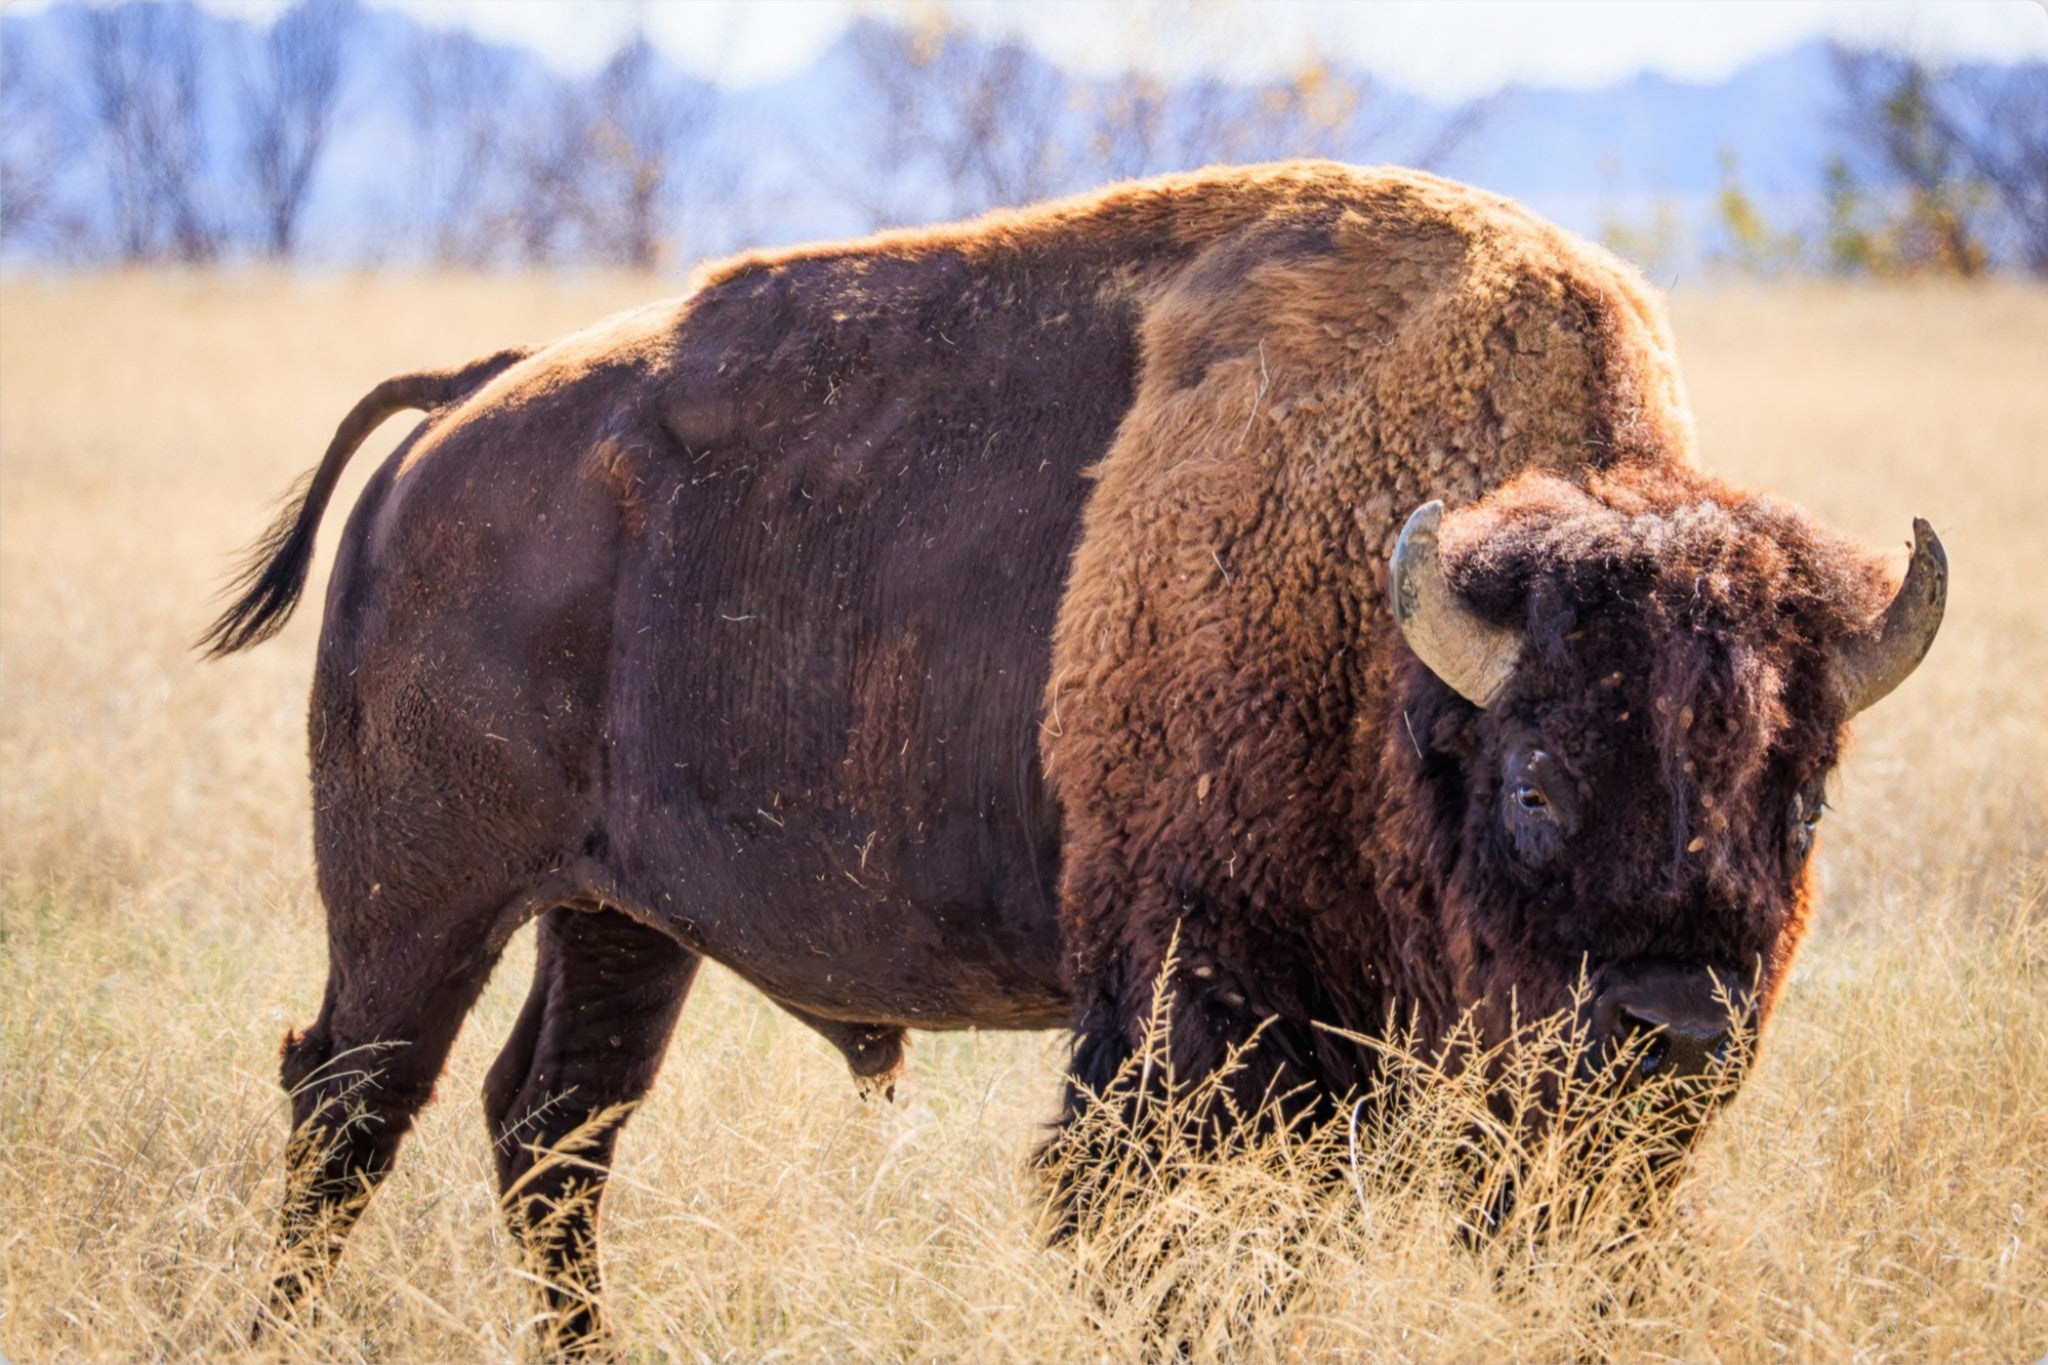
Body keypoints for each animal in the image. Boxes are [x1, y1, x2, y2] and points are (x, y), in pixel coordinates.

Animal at [204, 163, 1943, 1341]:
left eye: (1800, 802)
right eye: (1534, 783)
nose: (1676, 1027)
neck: (1381, 627)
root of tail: (470, 404)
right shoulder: (1194, 1021)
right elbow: (1162, 1234)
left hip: (619, 917)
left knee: (552, 1126)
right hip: (419, 900)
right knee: (350, 1104)